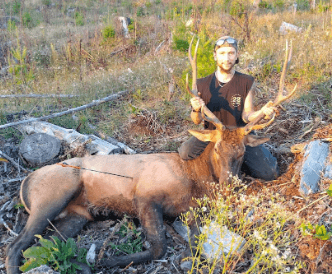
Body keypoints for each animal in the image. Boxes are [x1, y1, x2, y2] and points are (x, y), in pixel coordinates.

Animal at [5, 39, 296, 272]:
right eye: (216, 148)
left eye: (243, 151)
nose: (228, 182)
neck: (193, 179)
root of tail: (24, 183)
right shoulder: (144, 197)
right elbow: (159, 247)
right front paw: (105, 260)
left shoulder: (190, 209)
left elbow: (195, 242)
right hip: (52, 196)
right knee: (15, 246)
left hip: (76, 215)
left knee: (46, 245)